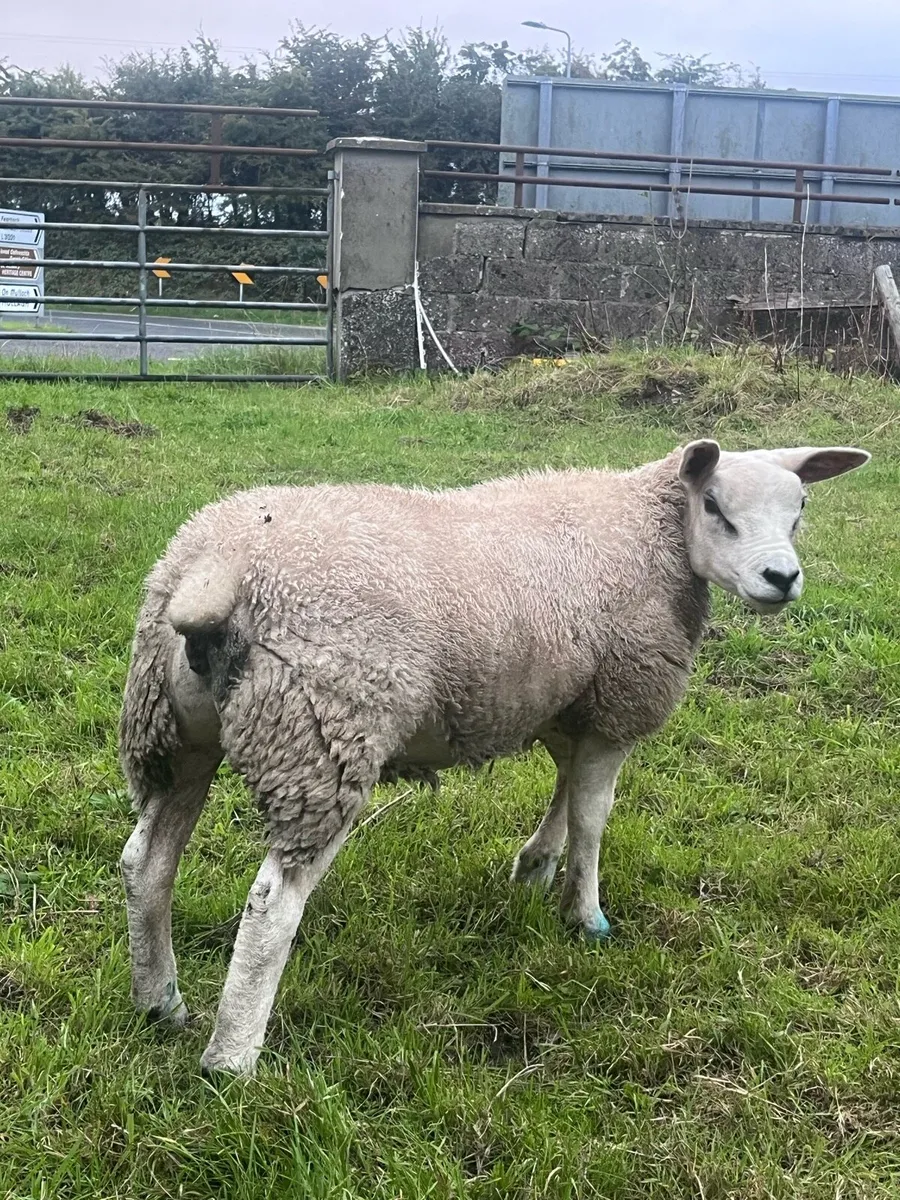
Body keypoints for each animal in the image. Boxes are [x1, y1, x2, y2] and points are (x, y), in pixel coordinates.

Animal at [118, 439, 870, 1075]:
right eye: (714, 506)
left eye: (800, 509)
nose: (782, 578)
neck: (651, 528)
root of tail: (215, 570)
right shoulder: (620, 700)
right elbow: (594, 814)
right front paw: (586, 914)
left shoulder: (568, 701)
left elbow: (566, 788)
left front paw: (535, 868)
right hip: (322, 740)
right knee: (273, 903)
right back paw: (231, 1059)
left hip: (172, 734)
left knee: (145, 863)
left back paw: (161, 1003)